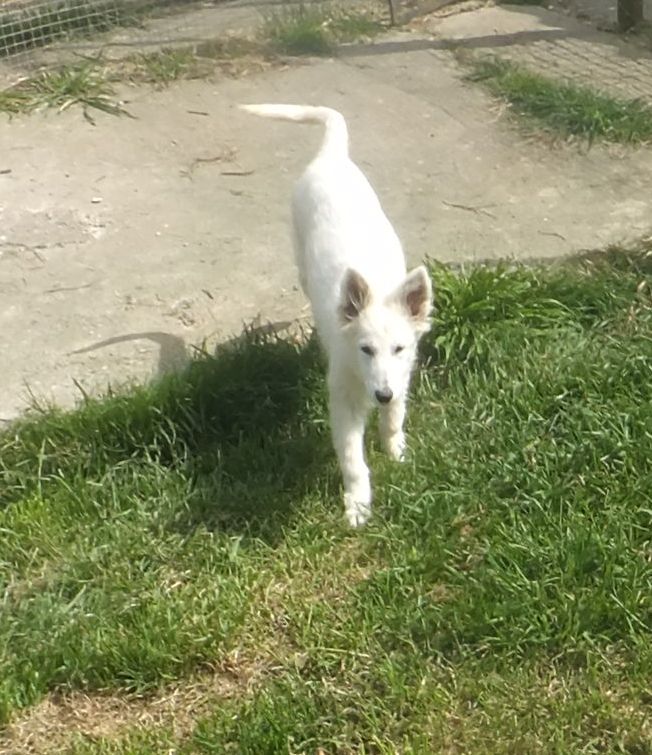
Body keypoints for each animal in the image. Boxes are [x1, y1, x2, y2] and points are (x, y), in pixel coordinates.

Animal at [240, 104, 433, 527]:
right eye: (365, 349)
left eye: (399, 348)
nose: (381, 395)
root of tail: (331, 157)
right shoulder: (343, 399)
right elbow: (352, 459)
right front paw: (358, 504)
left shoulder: (402, 375)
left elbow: (394, 419)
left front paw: (397, 454)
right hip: (300, 258)